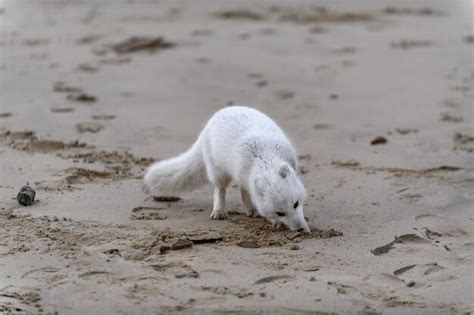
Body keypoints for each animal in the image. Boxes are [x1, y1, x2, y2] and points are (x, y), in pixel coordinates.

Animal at [143, 106, 310, 232]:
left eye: (296, 204)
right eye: (280, 212)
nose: (300, 229)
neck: (265, 157)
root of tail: (210, 122)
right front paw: (276, 222)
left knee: (242, 191)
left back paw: (251, 211)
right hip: (218, 171)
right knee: (220, 189)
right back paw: (219, 211)